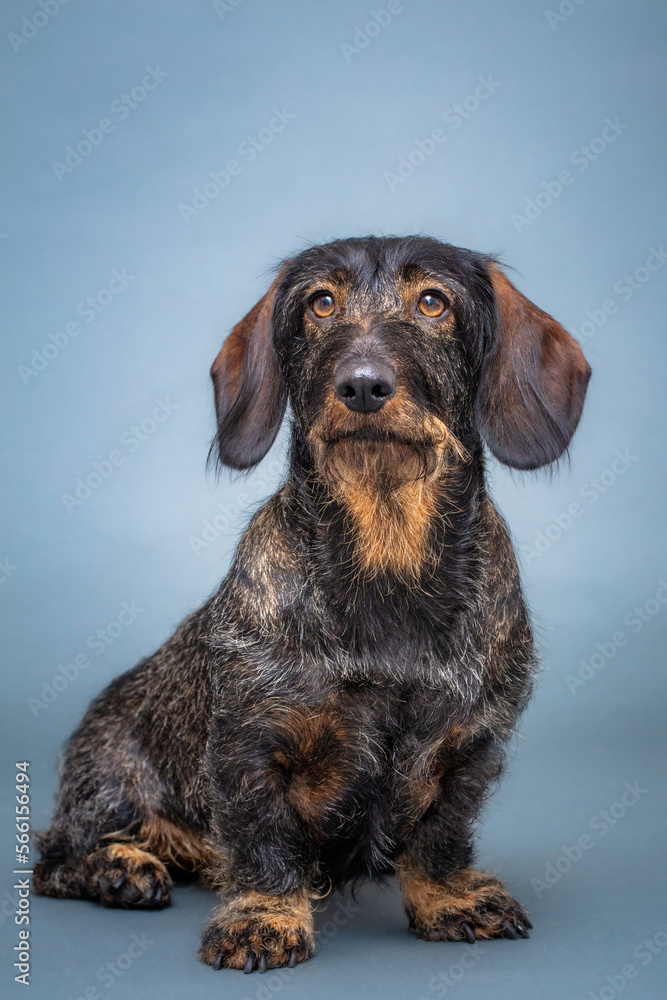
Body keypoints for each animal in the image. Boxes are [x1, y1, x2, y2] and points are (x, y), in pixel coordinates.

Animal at [34, 234, 592, 968]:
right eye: (320, 304)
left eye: (434, 302)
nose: (362, 385)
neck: (387, 562)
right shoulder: (249, 745)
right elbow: (263, 839)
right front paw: (265, 917)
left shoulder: (471, 745)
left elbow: (442, 832)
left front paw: (450, 898)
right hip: (112, 787)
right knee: (55, 858)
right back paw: (119, 869)